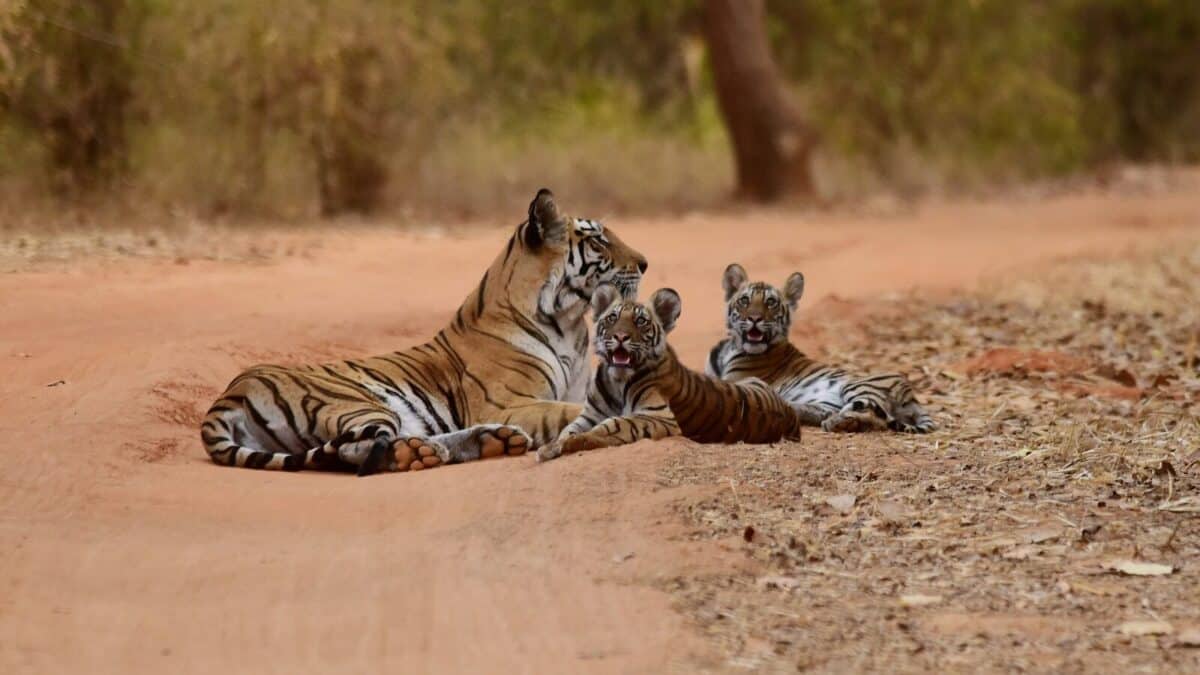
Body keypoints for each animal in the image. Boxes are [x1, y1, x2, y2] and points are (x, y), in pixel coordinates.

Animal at [200, 189, 647, 475]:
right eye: (598, 240)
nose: (644, 263)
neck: (569, 322)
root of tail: (229, 394)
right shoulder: (509, 402)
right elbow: (570, 412)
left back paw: (492, 442)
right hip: (356, 402)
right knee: (357, 450)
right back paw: (425, 453)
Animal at [536, 284, 803, 462]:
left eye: (640, 321)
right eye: (612, 318)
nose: (620, 336)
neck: (616, 381)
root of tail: (790, 413)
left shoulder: (660, 416)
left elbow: (614, 424)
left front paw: (573, 443)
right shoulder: (590, 414)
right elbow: (569, 429)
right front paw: (553, 446)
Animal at [706, 263, 936, 433]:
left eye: (770, 302)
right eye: (744, 300)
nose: (754, 318)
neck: (731, 347)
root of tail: (912, 395)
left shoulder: (735, 380)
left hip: (858, 386)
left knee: (871, 415)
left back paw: (836, 422)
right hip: (828, 402)